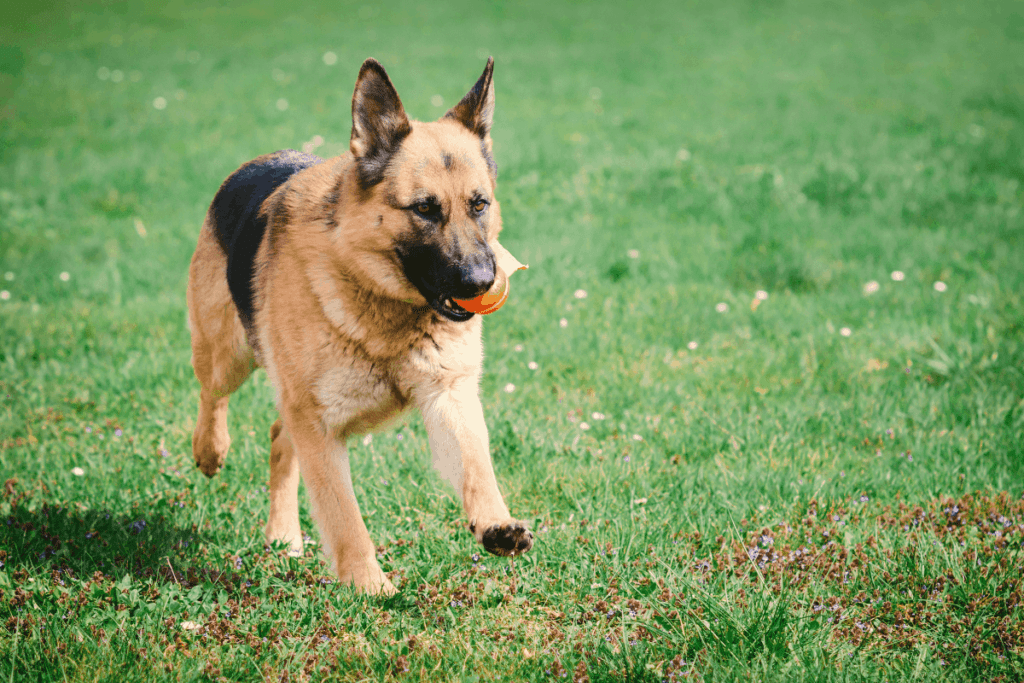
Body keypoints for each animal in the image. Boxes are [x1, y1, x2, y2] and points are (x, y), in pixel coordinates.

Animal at [187, 58, 532, 593]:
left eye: (479, 204)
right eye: (424, 208)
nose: (481, 281)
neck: (383, 303)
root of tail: (253, 164)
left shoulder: (449, 394)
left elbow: (477, 468)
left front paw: (495, 523)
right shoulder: (318, 425)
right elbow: (345, 519)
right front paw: (371, 588)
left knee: (278, 436)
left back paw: (283, 536)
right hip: (229, 356)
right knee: (213, 394)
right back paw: (210, 450)